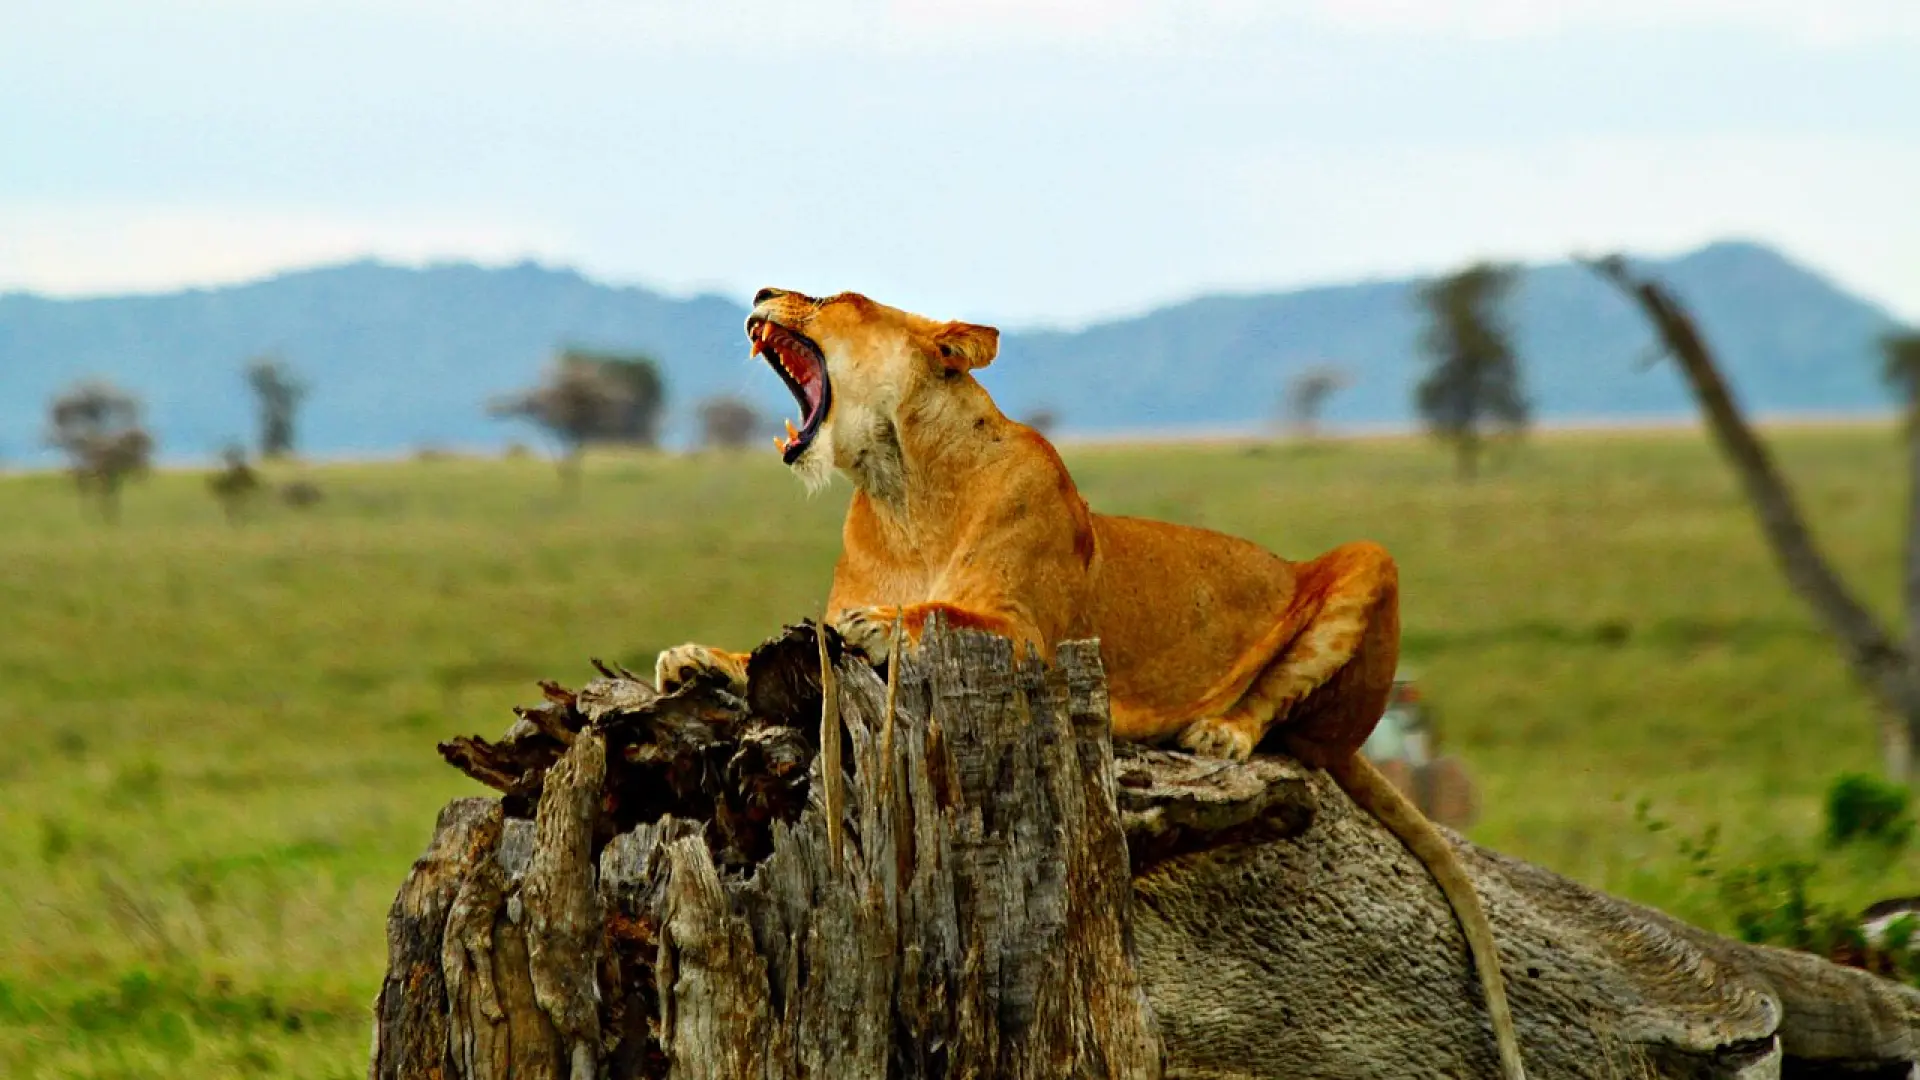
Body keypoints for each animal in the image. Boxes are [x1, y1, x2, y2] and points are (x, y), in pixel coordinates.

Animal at [656, 287, 1527, 1080]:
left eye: (839, 298)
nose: (763, 291)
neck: (902, 490)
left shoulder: (1036, 639)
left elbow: (942, 612)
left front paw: (880, 621)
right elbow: (773, 643)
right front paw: (695, 657)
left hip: (1367, 563)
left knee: (1293, 728)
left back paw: (1218, 730)